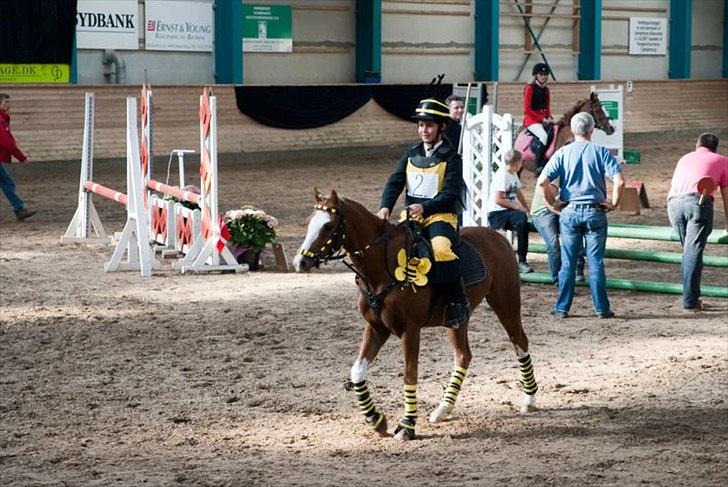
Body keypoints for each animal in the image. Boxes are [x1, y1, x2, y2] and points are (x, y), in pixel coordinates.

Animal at [293, 190, 539, 441]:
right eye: (309, 222)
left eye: (327, 226)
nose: (300, 262)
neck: (381, 268)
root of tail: (498, 238)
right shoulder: (376, 328)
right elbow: (357, 371)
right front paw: (376, 420)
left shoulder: (410, 330)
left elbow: (410, 375)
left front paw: (407, 425)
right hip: (458, 320)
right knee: (463, 355)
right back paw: (443, 409)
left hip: (506, 305)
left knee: (520, 343)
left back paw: (528, 400)